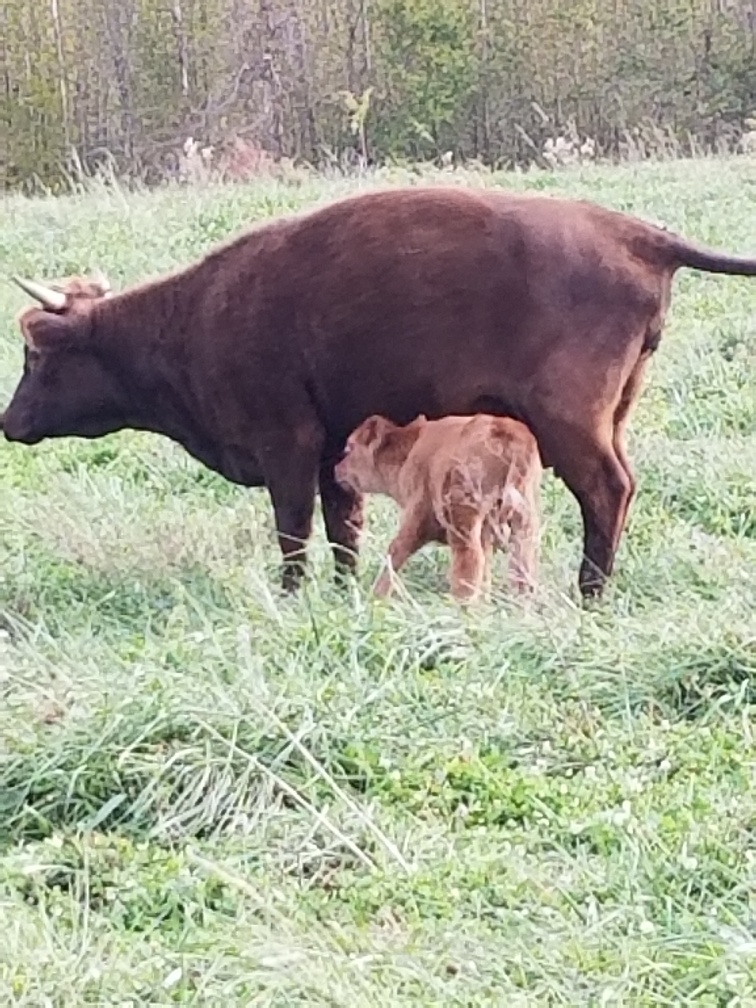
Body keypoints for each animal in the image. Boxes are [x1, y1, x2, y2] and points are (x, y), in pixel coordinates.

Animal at [334, 413, 542, 601]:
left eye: (349, 448)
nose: (336, 469)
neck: (408, 452)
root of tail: (511, 433)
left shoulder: (416, 518)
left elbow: (394, 552)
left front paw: (376, 597)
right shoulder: (486, 534)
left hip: (462, 520)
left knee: (470, 560)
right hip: (523, 525)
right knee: (522, 571)